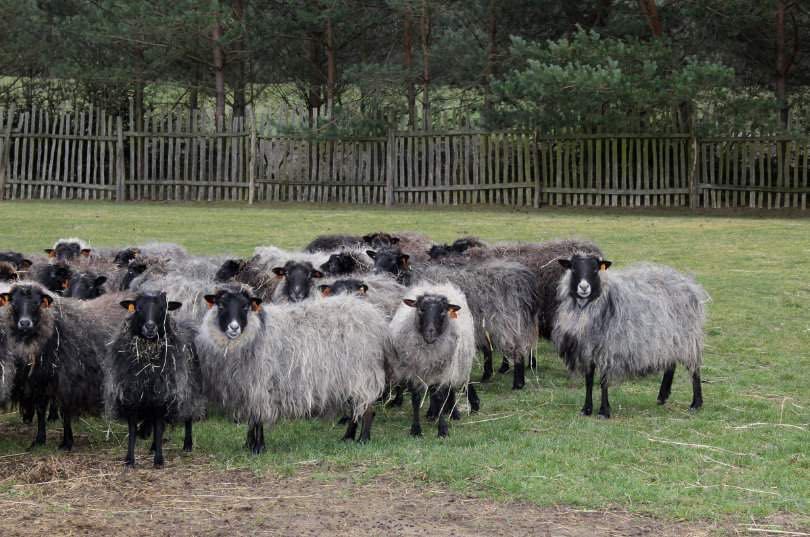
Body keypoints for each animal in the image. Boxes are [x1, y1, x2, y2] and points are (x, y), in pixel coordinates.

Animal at [0, 284, 126, 448]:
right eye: (14, 303)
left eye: (36, 303)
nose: (25, 323)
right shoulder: (39, 381)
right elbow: (41, 410)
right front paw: (39, 440)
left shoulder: (67, 381)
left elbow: (65, 411)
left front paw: (67, 442)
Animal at [104, 292, 204, 466]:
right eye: (138, 308)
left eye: (163, 308)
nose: (150, 327)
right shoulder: (132, 396)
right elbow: (133, 430)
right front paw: (129, 459)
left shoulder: (163, 396)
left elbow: (158, 428)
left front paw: (159, 460)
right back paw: (152, 447)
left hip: (189, 388)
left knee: (188, 415)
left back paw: (187, 444)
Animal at [194, 284, 386, 452]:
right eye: (220, 305)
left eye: (245, 306)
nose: (234, 327)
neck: (256, 332)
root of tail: (371, 313)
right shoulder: (248, 386)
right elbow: (251, 418)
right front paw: (248, 444)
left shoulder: (262, 384)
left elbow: (258, 417)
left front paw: (258, 447)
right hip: (350, 375)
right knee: (356, 407)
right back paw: (348, 438)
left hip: (363, 371)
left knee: (366, 407)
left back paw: (363, 439)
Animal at [386, 280, 474, 436]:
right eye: (421, 309)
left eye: (443, 311)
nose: (430, 334)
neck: (429, 351)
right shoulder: (413, 373)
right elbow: (416, 399)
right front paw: (416, 429)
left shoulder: (443, 372)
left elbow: (440, 397)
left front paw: (443, 429)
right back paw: (431, 413)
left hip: (452, 367)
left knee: (449, 390)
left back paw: (453, 413)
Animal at [548, 255, 708, 418]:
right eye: (573, 268)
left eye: (595, 269)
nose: (584, 287)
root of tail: (687, 282)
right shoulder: (587, 348)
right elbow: (589, 379)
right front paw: (586, 409)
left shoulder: (609, 348)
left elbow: (603, 381)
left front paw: (604, 411)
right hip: (668, 337)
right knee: (671, 363)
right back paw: (662, 396)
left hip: (687, 336)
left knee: (694, 368)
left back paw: (696, 403)